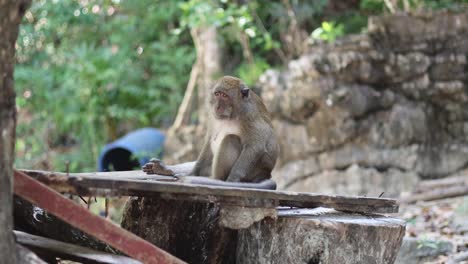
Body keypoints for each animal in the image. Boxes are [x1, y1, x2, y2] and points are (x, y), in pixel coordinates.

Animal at [143, 76, 278, 190]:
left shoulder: (250, 115)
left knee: (231, 139)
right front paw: (193, 173)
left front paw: (232, 179)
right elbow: (208, 141)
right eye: (217, 94)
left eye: (224, 96)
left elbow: (255, 146)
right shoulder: (212, 116)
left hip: (252, 172)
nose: (217, 106)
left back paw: (215, 180)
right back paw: (166, 169)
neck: (232, 114)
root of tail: (266, 174)